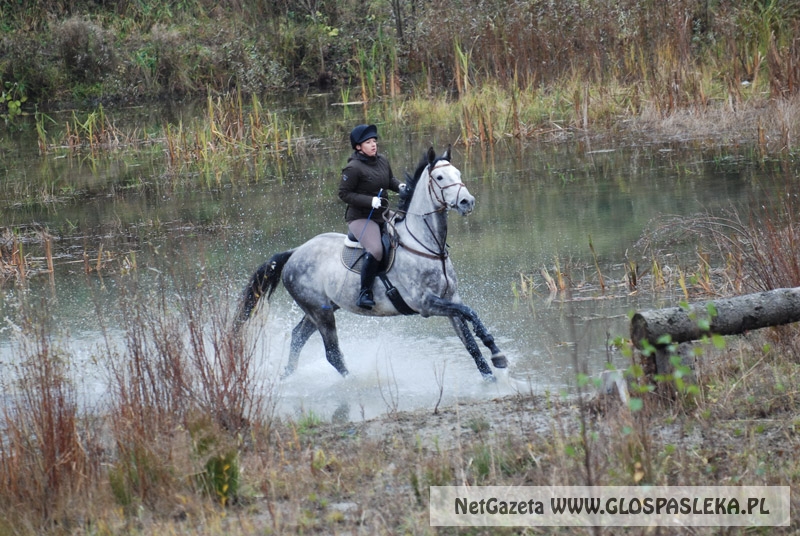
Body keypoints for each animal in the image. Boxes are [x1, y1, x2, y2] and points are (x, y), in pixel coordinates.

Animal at [234, 146, 506, 382]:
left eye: (458, 173)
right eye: (439, 177)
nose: (467, 202)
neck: (426, 246)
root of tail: (295, 252)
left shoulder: (451, 298)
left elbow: (469, 337)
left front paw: (491, 371)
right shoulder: (426, 304)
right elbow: (470, 313)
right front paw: (497, 354)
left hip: (322, 309)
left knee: (298, 336)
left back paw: (287, 376)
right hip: (320, 313)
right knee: (332, 353)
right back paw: (358, 382)